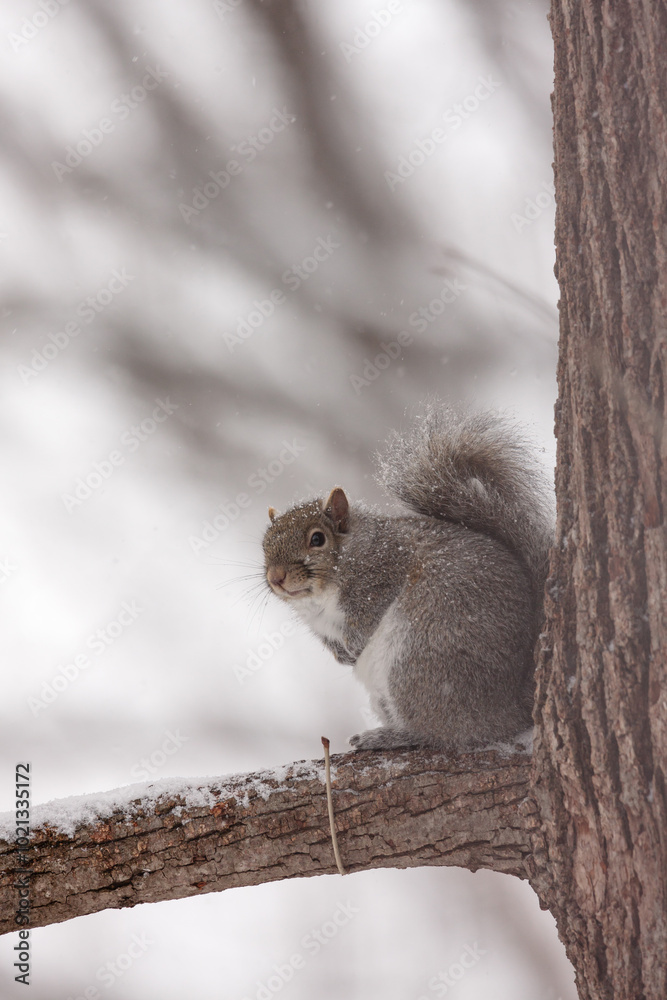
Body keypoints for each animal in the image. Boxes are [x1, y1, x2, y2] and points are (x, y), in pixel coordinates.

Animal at [262, 407, 554, 751]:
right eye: (264, 543)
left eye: (317, 539)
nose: (276, 577)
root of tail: (510, 708)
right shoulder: (320, 626)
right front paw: (342, 655)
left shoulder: (383, 575)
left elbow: (367, 618)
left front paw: (354, 645)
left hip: (419, 660)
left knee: (440, 732)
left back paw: (388, 737)